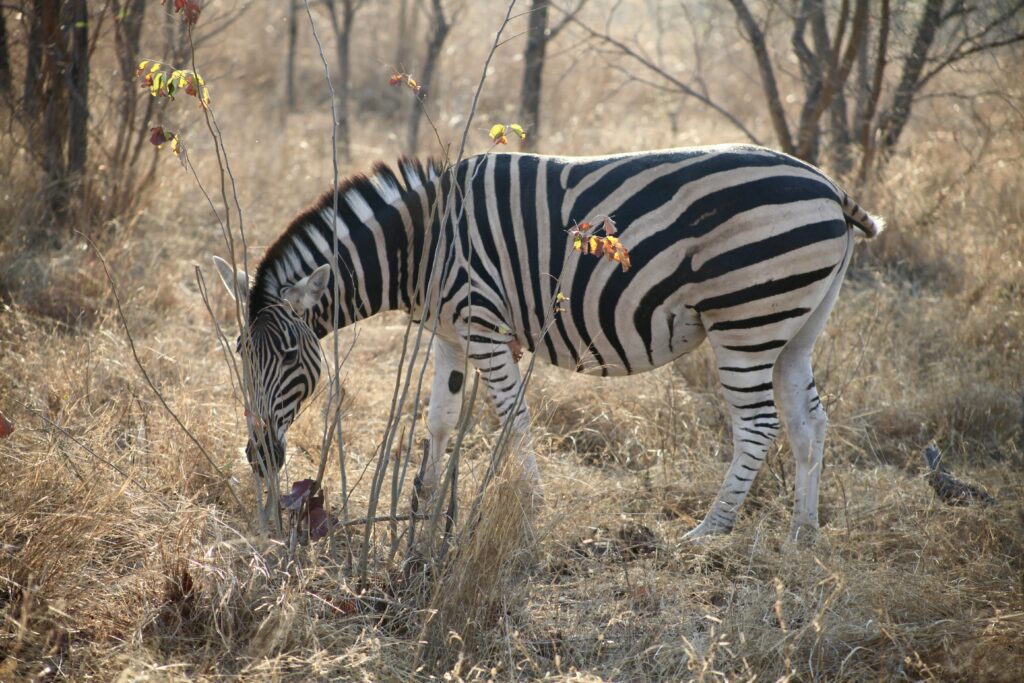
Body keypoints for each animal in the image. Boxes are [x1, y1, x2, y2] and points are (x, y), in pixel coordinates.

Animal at [211, 144, 884, 540]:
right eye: (242, 355)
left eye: (291, 357)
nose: (260, 456)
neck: (422, 243)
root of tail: (829, 186)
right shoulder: (451, 334)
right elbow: (439, 419)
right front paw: (424, 504)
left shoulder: (483, 324)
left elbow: (512, 417)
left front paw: (530, 507)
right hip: (796, 324)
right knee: (808, 423)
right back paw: (802, 535)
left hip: (745, 318)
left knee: (759, 424)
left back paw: (708, 531)